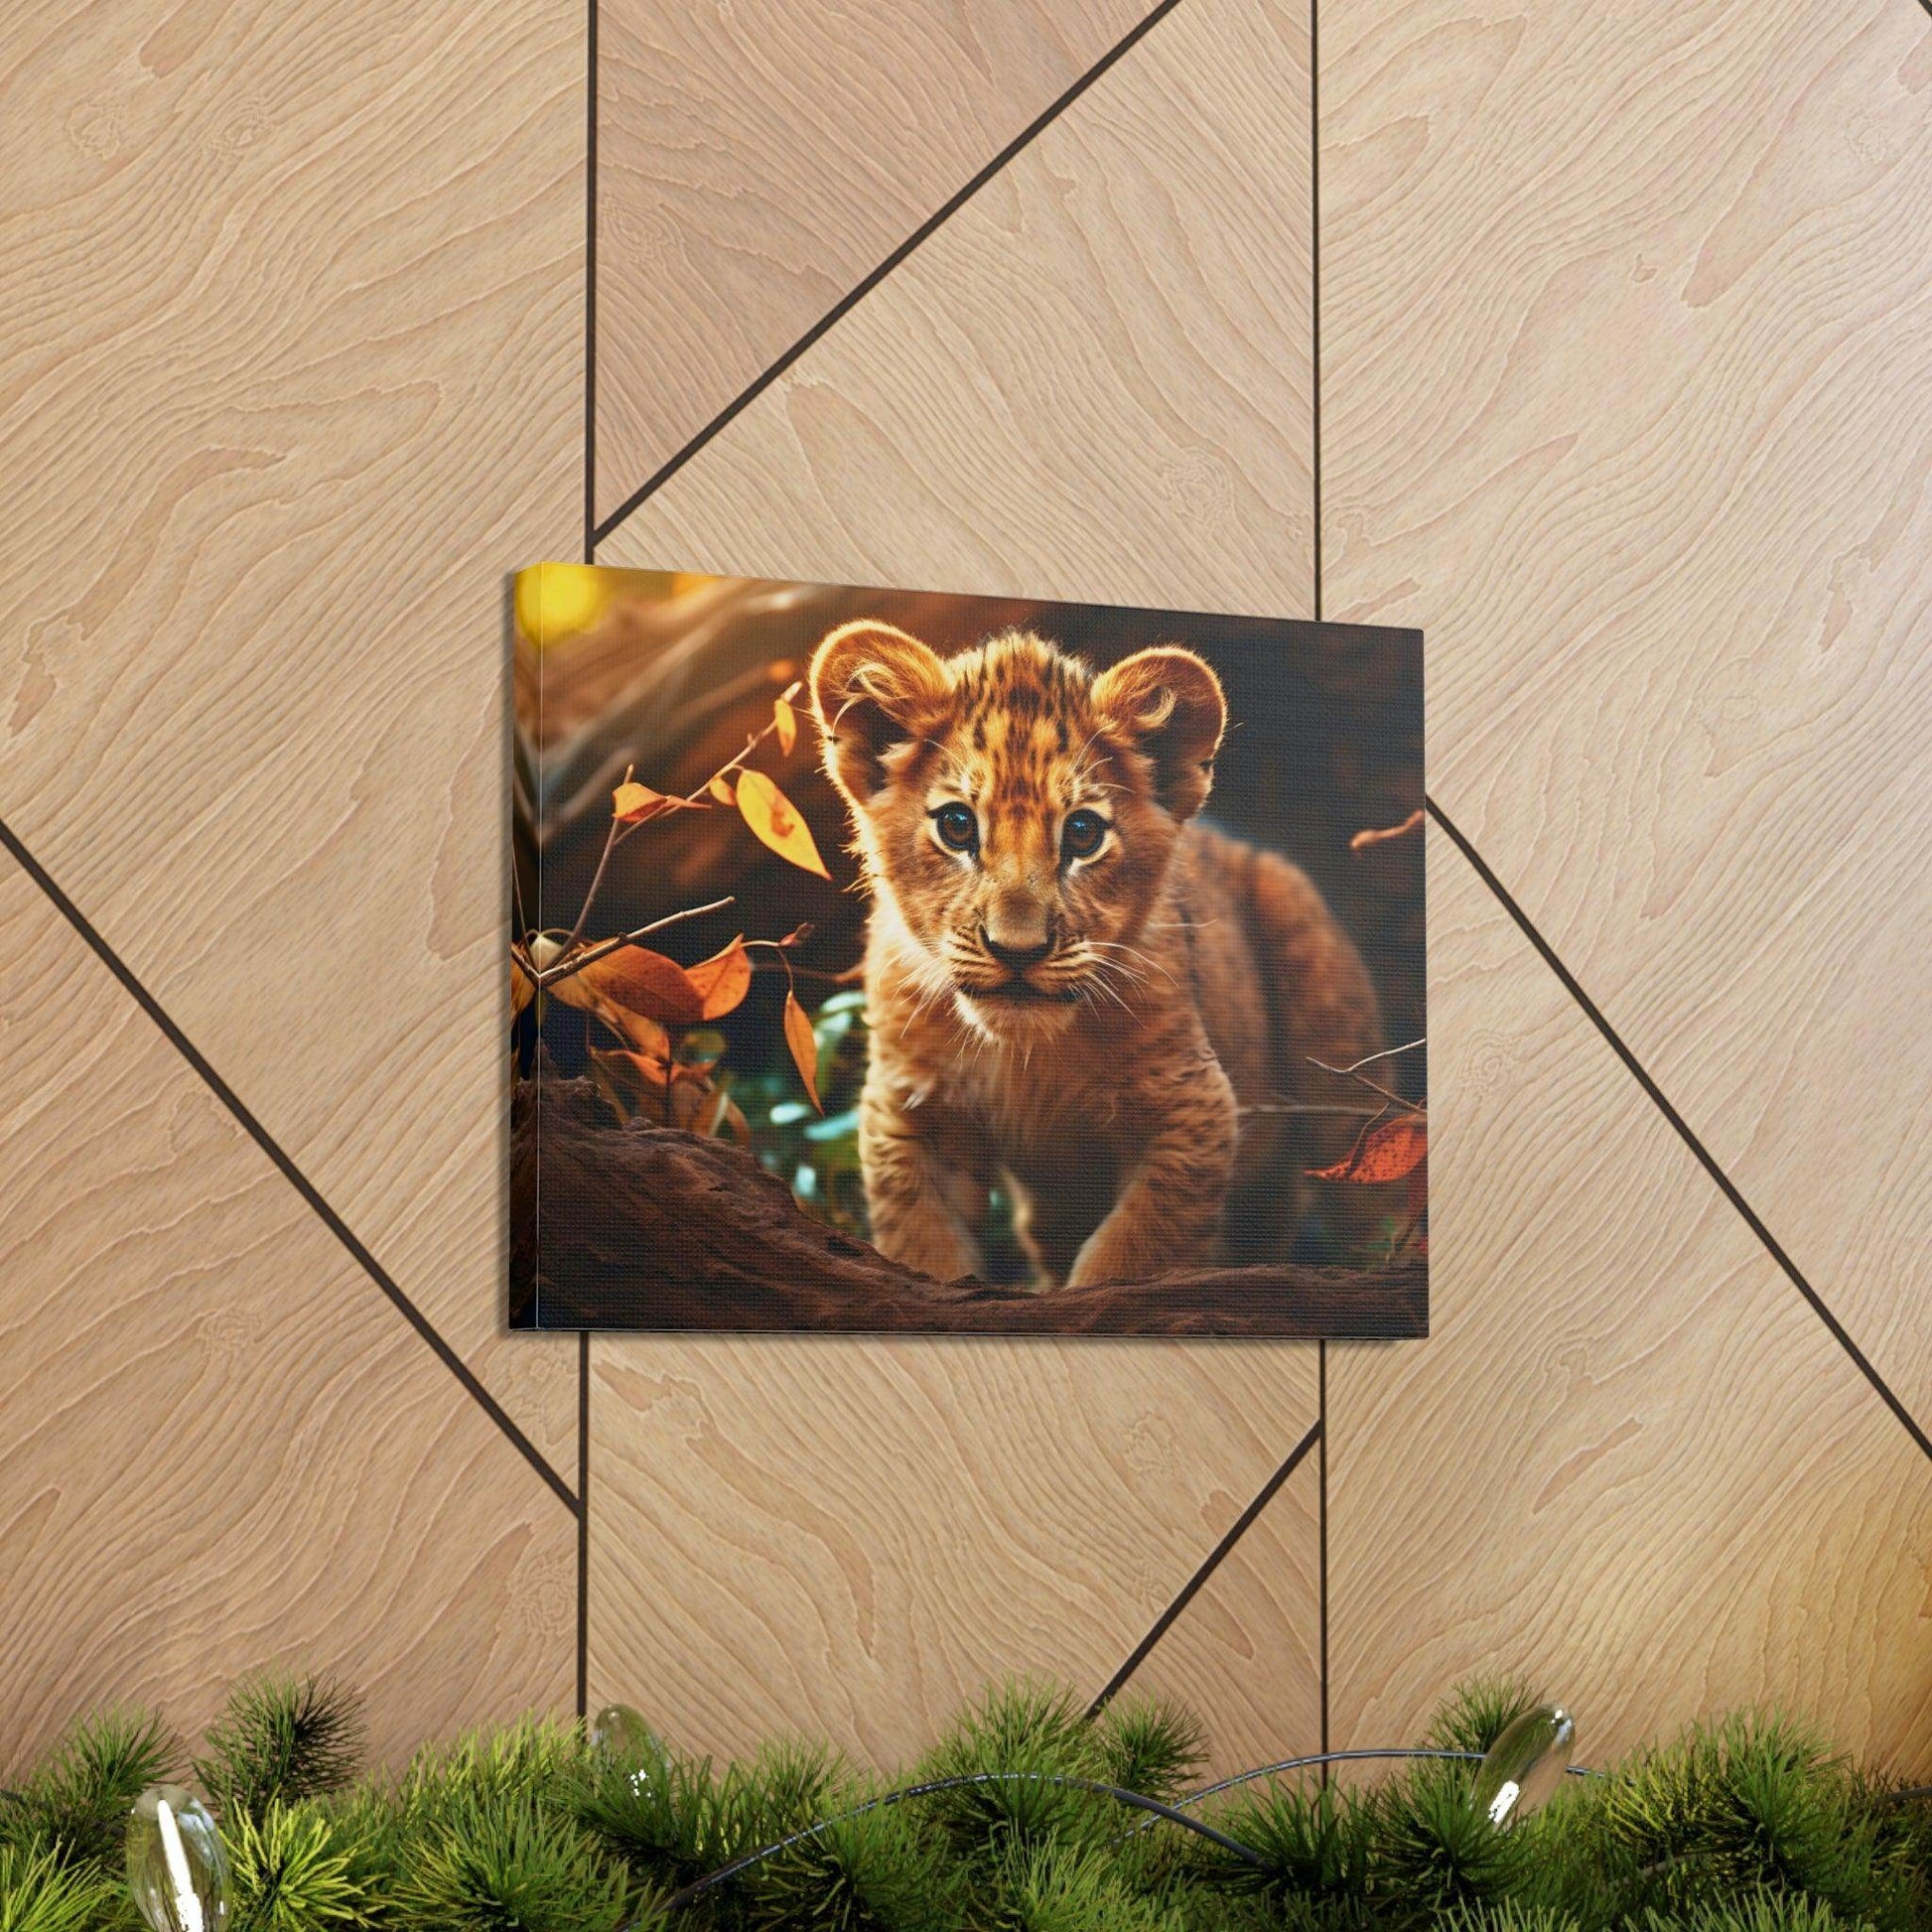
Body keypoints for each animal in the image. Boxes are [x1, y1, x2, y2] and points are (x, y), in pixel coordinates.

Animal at [808, 620, 1389, 1289]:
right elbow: (925, 1249)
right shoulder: (910, 1114)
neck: (1028, 1057)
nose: (1018, 950)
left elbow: (1129, 1254)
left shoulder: (1193, 1106)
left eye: (1083, 834)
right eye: (957, 826)